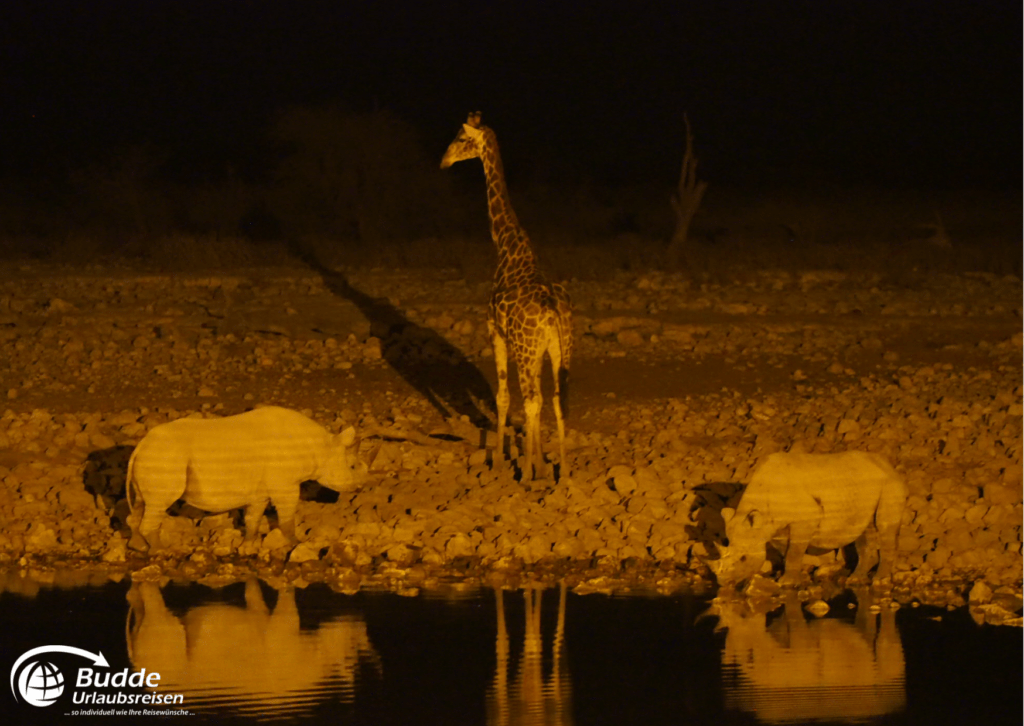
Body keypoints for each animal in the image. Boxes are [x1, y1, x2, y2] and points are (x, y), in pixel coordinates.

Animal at [123, 407, 372, 548]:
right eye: (352, 466)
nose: (362, 486)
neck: (323, 447)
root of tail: (141, 445)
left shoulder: (259, 491)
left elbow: (254, 517)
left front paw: (249, 544)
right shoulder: (286, 485)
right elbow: (287, 515)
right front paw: (296, 543)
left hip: (154, 456)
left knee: (142, 503)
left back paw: (138, 547)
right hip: (165, 457)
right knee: (158, 503)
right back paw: (162, 551)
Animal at [438, 111, 573, 481]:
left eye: (461, 139)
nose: (444, 161)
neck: (507, 245)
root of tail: (552, 310)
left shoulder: (495, 332)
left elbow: (502, 398)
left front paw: (501, 462)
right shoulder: (536, 348)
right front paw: (540, 463)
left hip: (528, 349)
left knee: (532, 399)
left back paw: (525, 475)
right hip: (561, 348)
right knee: (557, 399)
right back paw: (564, 473)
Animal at [708, 450, 909, 585]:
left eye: (743, 558)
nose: (723, 582)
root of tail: (888, 464)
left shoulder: (807, 517)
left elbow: (794, 551)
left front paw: (786, 582)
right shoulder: (775, 525)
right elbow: (787, 551)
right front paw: (796, 576)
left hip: (890, 483)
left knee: (884, 526)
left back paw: (879, 580)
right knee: (865, 529)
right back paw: (855, 579)